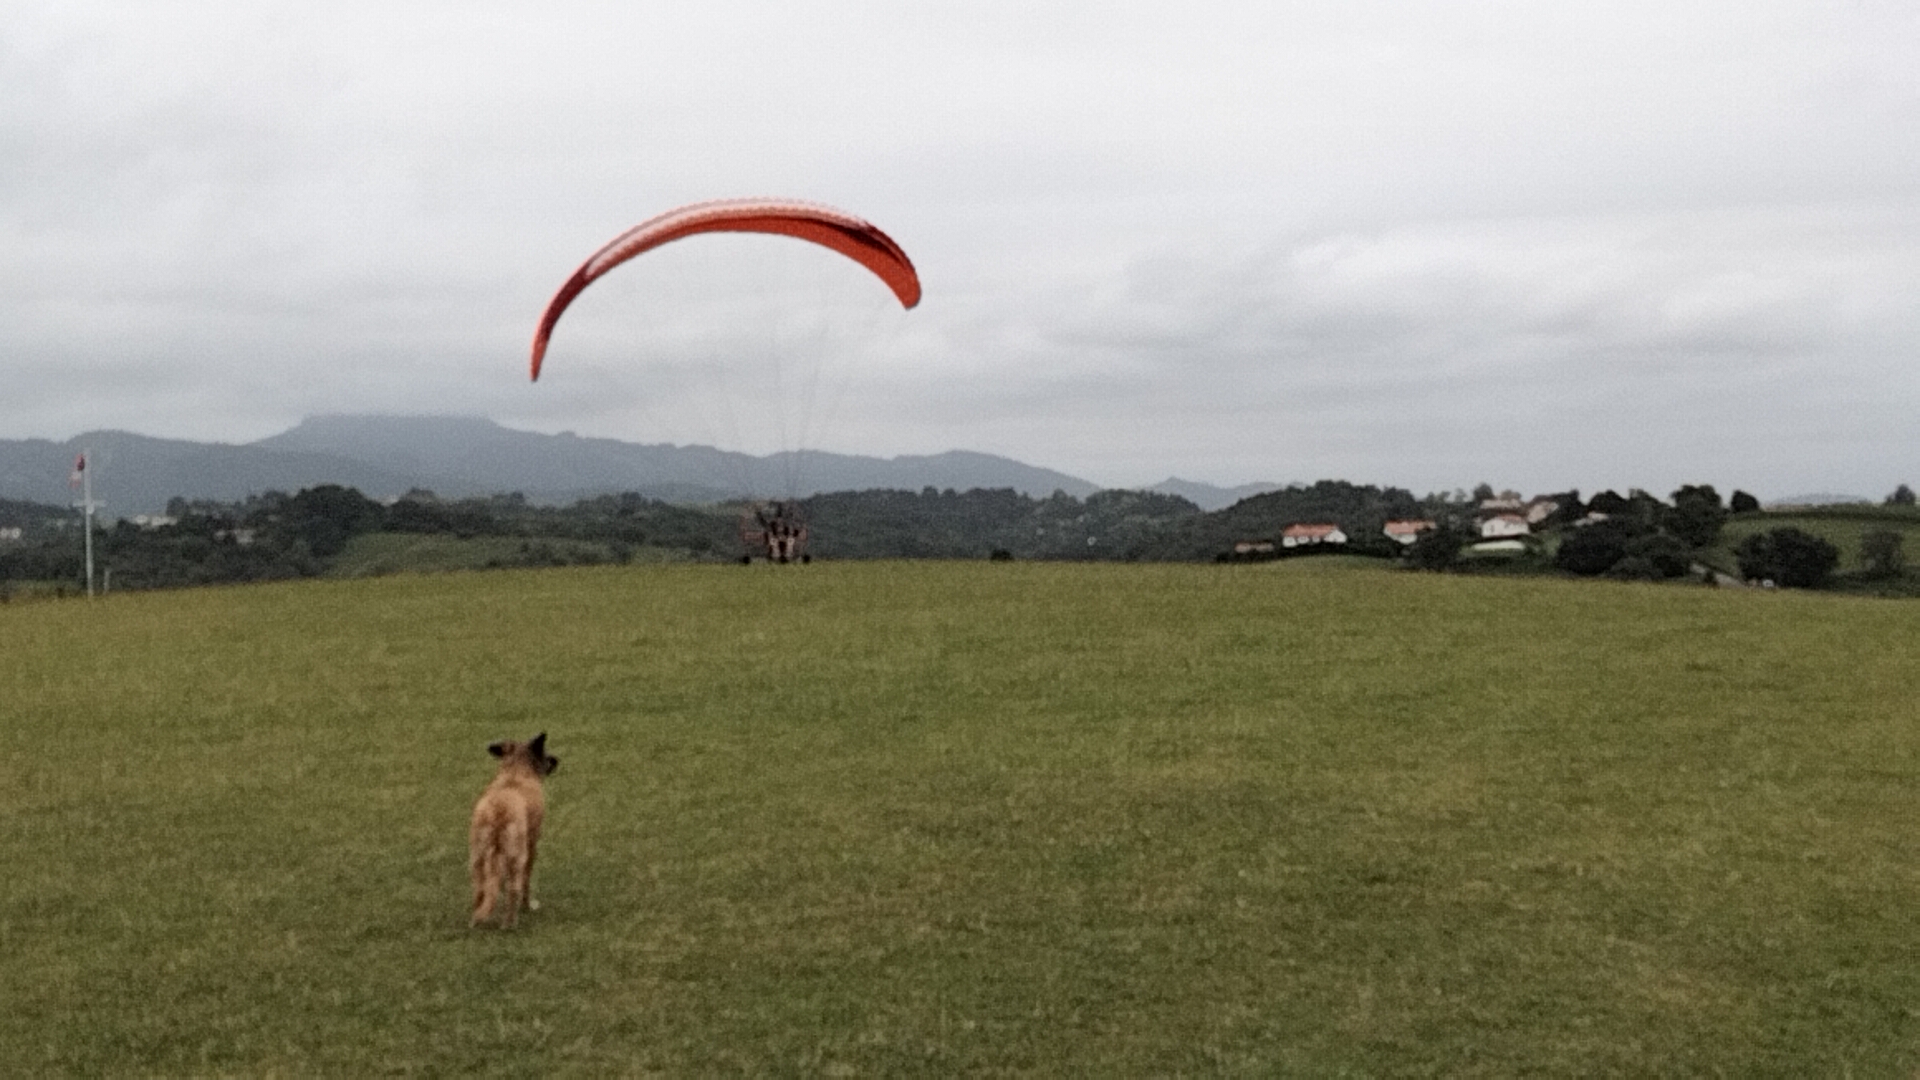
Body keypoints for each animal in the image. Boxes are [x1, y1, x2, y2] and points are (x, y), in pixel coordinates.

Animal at [468, 732, 559, 928]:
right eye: (544, 752)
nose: (556, 760)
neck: (515, 770)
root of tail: (497, 813)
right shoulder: (532, 844)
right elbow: (526, 880)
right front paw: (527, 905)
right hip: (516, 855)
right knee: (513, 888)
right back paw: (509, 923)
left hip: (478, 856)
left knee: (480, 890)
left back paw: (476, 919)